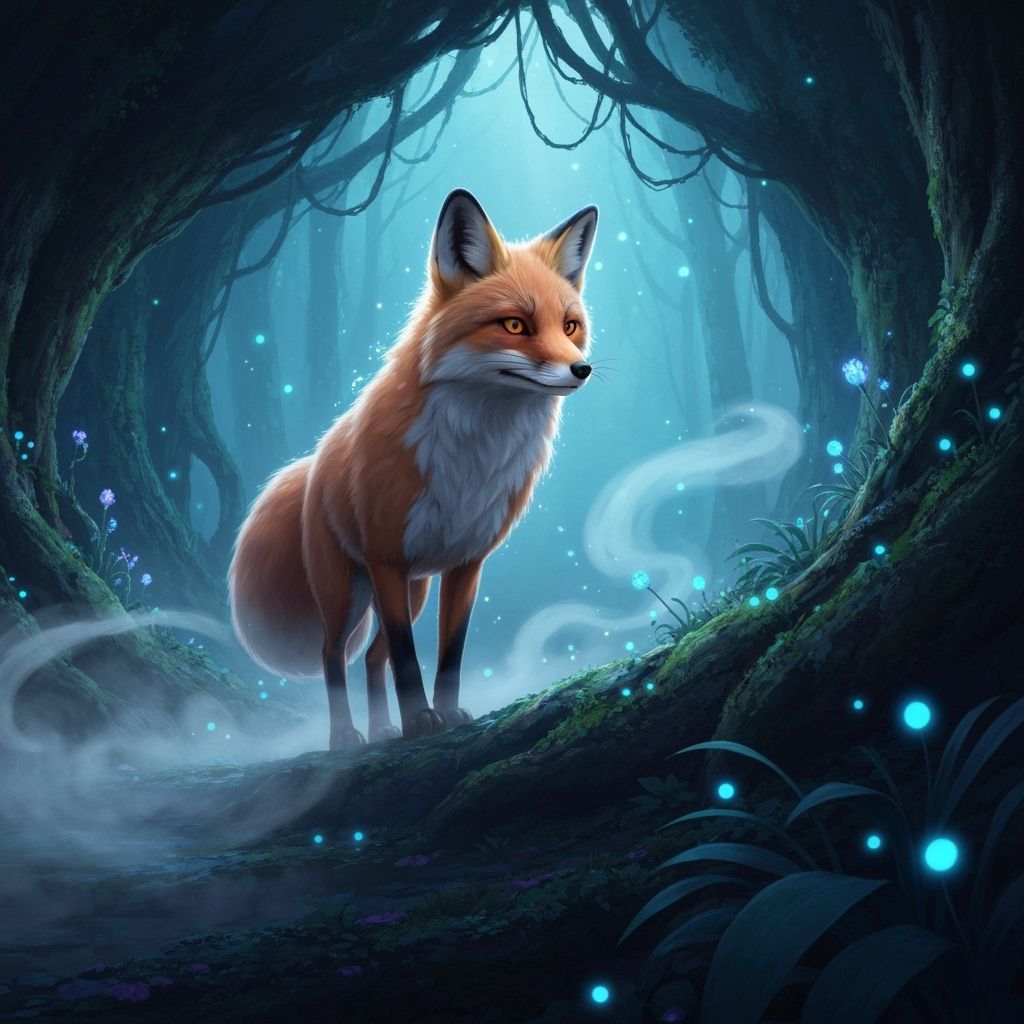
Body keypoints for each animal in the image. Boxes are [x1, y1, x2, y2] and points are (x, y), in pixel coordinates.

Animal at [229, 189, 598, 749]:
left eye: (570, 326)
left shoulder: (466, 564)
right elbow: (406, 658)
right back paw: (346, 736)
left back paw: (383, 728)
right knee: (334, 654)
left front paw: (444, 715)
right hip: (349, 591)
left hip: (414, 590)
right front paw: (421, 720)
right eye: (515, 325)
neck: (474, 458)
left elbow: (449, 655)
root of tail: (313, 462)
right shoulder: (386, 557)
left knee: (371, 657)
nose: (582, 369)